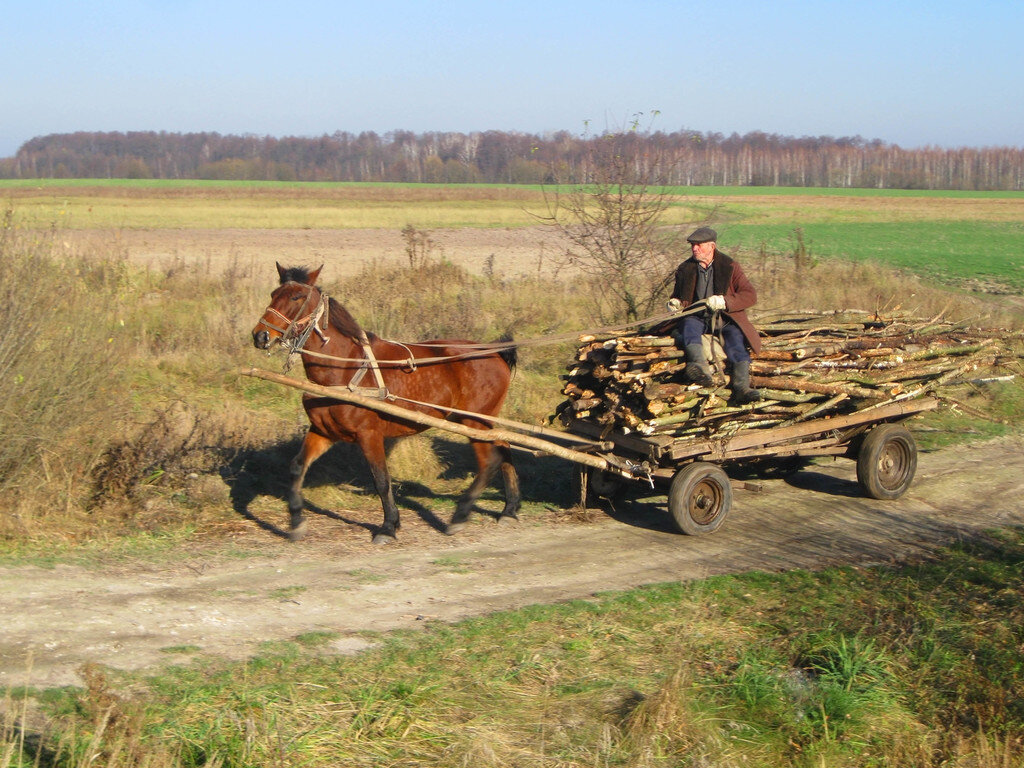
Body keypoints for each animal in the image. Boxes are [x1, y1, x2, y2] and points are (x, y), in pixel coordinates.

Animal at [248, 264, 520, 548]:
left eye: (296, 297)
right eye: (273, 294)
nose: (261, 335)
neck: (346, 367)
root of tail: (494, 351)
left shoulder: (369, 435)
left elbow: (381, 480)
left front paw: (388, 526)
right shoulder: (323, 432)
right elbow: (297, 467)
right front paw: (296, 522)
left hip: (474, 421)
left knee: (489, 462)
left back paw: (461, 514)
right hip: (479, 421)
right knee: (505, 448)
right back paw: (509, 509)